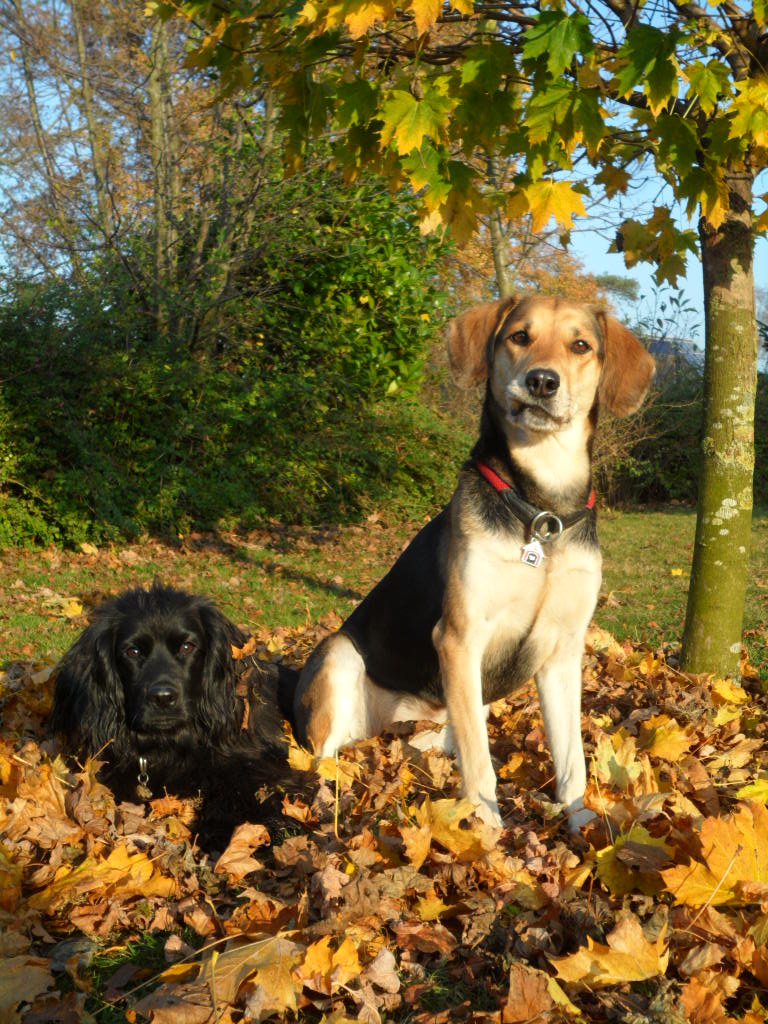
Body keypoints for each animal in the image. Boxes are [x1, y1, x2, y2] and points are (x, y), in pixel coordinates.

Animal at [51, 585, 303, 847]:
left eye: (187, 646)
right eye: (133, 651)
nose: (163, 697)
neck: (169, 744)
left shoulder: (265, 767)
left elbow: (243, 788)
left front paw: (221, 831)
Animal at [294, 296, 655, 831]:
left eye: (580, 345)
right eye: (520, 336)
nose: (542, 381)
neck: (542, 511)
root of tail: (382, 729)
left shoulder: (563, 653)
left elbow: (572, 758)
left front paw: (582, 825)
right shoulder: (460, 638)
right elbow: (480, 766)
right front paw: (488, 833)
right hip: (340, 656)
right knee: (323, 756)